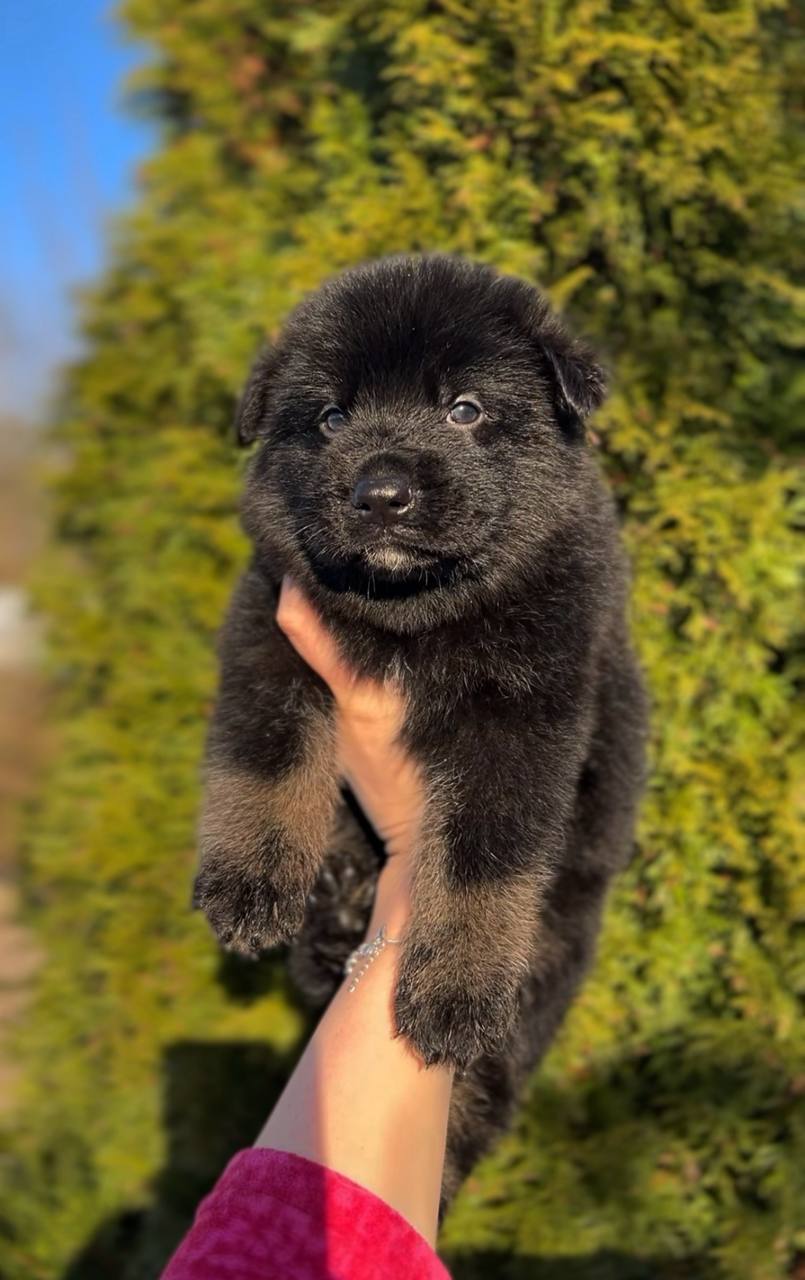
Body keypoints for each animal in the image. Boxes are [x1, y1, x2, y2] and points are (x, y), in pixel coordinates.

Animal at [193, 251, 648, 1202]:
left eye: (463, 409)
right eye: (330, 417)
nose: (381, 494)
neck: (414, 614)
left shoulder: (528, 719)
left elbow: (481, 861)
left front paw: (453, 989)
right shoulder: (269, 629)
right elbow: (265, 753)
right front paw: (250, 881)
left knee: (493, 1080)